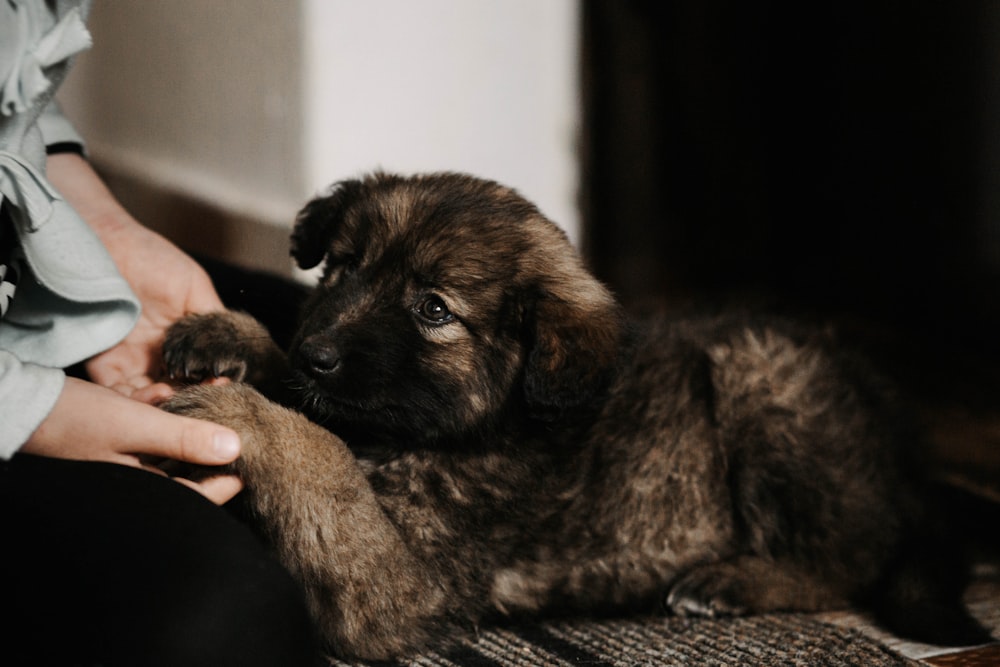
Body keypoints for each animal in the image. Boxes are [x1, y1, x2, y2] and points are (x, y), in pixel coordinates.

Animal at [162, 172, 984, 664]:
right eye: (343, 269)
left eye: (435, 309)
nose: (319, 354)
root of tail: (911, 456)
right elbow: (315, 419)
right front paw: (231, 336)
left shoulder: (404, 586)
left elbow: (320, 454)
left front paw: (239, 407)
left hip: (760, 375)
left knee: (851, 563)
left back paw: (732, 581)